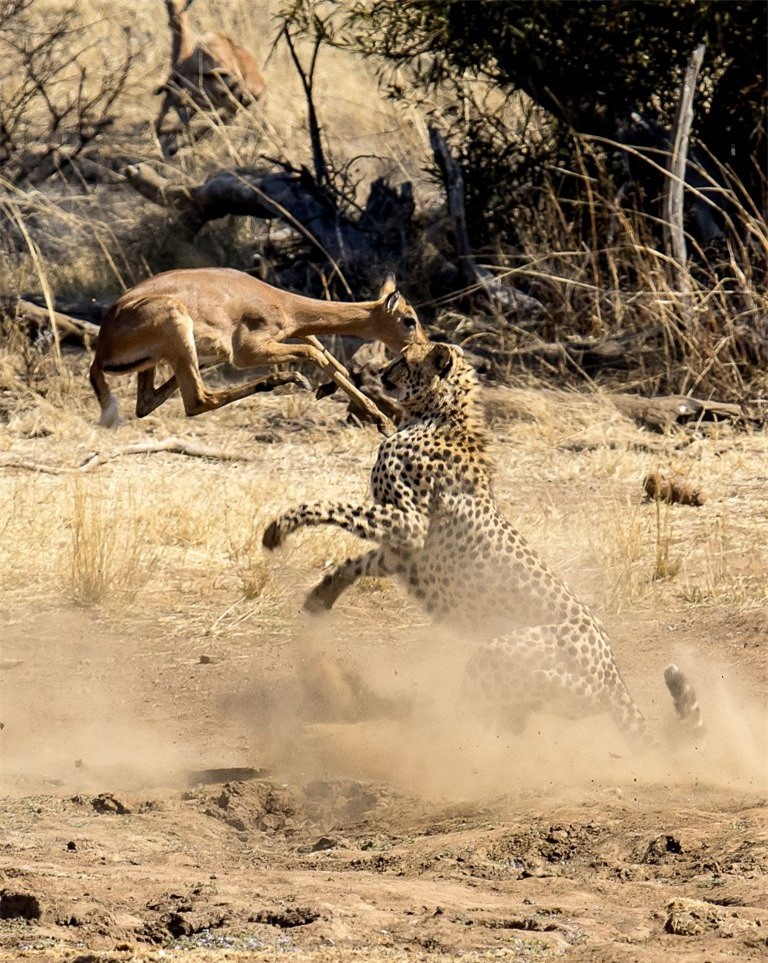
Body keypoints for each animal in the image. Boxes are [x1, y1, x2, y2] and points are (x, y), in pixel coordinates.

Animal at [262, 342, 704, 748]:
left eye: (404, 358)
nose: (381, 372)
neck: (437, 413)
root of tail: (612, 673)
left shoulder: (409, 524)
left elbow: (334, 506)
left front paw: (279, 527)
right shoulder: (402, 548)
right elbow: (356, 561)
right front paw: (321, 596)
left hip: (498, 656)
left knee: (477, 717)